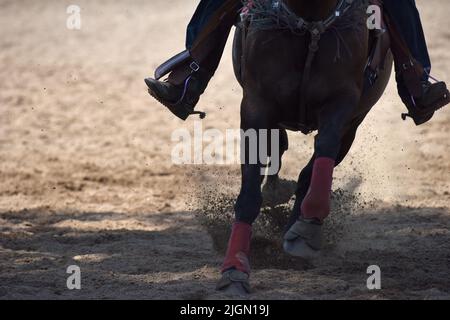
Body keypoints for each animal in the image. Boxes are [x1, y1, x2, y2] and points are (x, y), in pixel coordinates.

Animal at [215, 0, 394, 296]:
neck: (311, 21)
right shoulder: (255, 105)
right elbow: (249, 193)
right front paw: (234, 268)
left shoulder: (344, 102)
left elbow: (323, 150)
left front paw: (306, 228)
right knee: (278, 147)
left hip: (354, 124)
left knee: (312, 167)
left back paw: (296, 229)